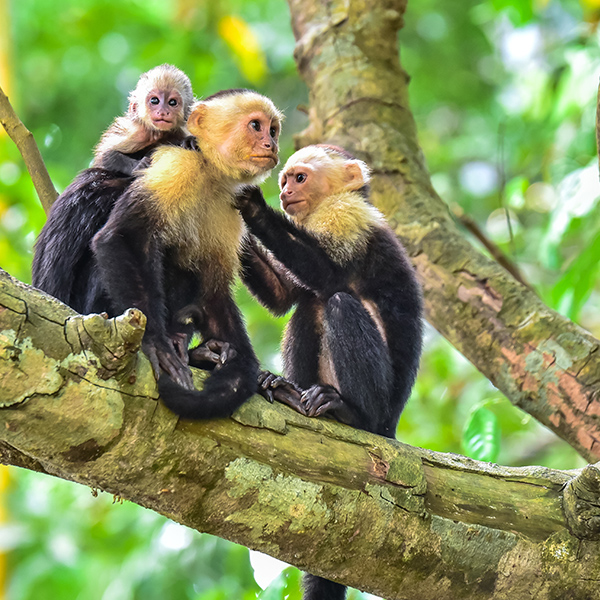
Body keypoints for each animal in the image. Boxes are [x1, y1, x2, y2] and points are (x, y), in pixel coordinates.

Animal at [91, 89, 284, 420]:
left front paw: (243, 369)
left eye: (272, 130)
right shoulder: (176, 166)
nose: (271, 144)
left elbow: (212, 292)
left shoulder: (232, 207)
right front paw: (155, 343)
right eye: (256, 126)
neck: (208, 171)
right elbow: (123, 237)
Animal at [237, 144, 424, 600]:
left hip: (381, 409)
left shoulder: (346, 216)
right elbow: (286, 296)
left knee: (336, 301)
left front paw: (253, 207)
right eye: (285, 179)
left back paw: (349, 413)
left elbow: (328, 275)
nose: (284, 192)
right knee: (309, 304)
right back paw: (290, 391)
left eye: (299, 178)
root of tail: (392, 426)